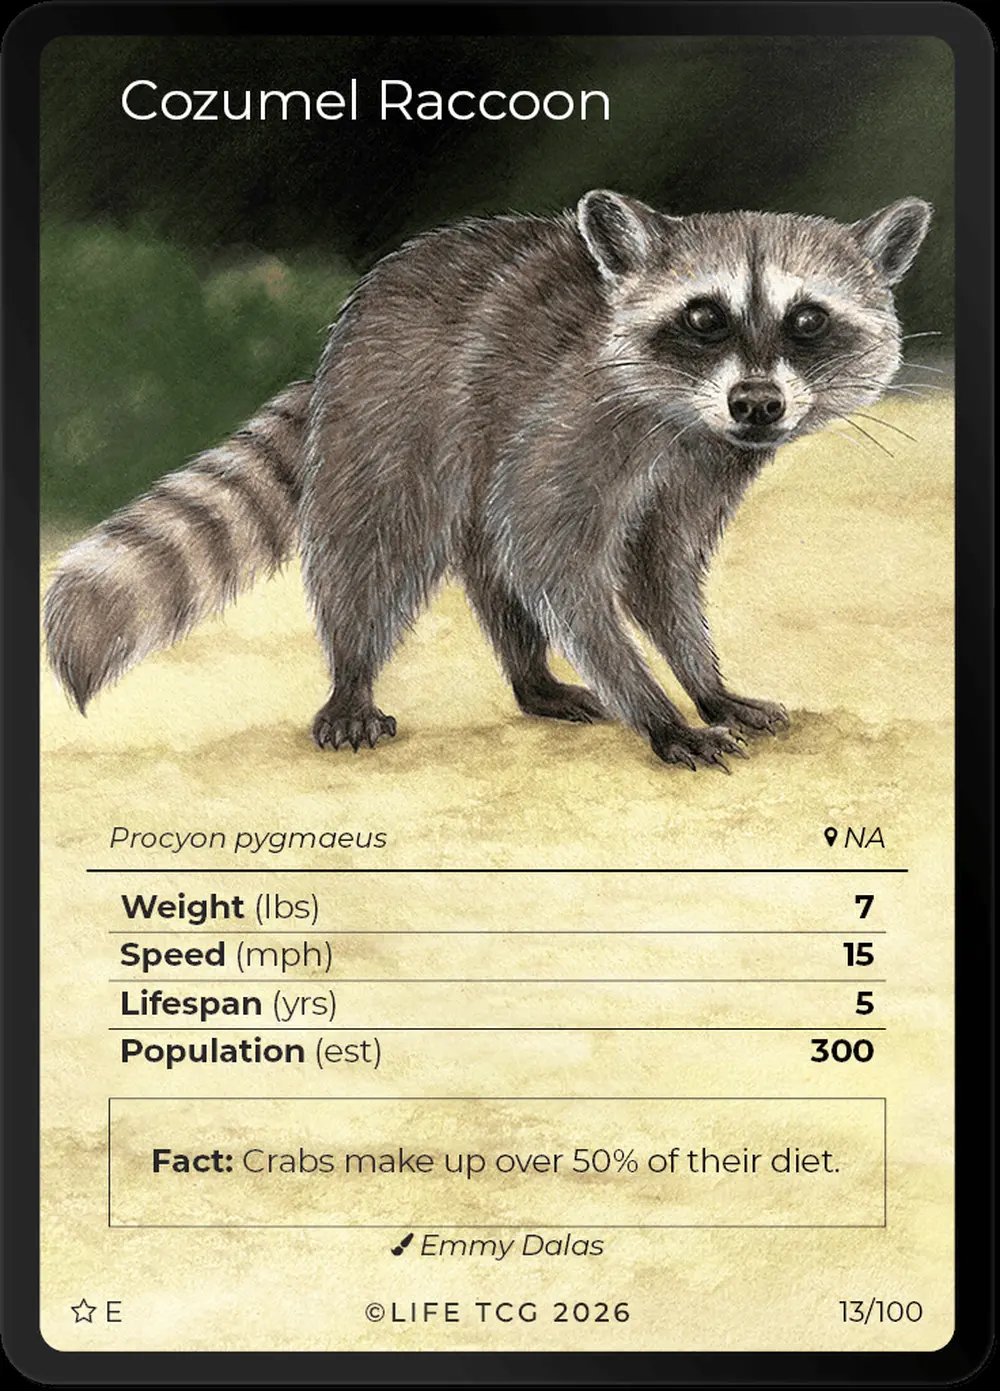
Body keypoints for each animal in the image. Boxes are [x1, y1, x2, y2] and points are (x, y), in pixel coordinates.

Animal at [44, 191, 931, 768]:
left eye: (808, 319)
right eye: (705, 316)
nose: (757, 403)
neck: (685, 415)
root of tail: (361, 309)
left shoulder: (705, 462)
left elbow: (657, 569)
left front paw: (704, 682)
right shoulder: (576, 415)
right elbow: (552, 552)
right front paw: (654, 709)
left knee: (489, 554)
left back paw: (531, 678)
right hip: (395, 405)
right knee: (378, 544)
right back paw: (354, 674)